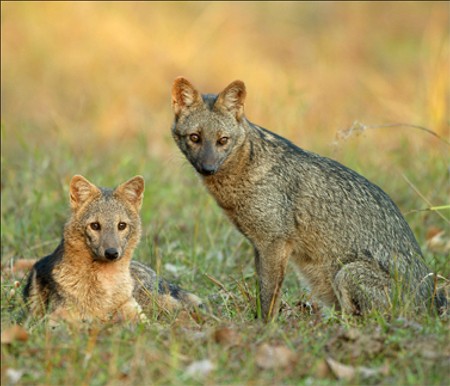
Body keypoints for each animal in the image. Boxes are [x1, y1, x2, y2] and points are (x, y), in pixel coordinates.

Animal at [22, 174, 202, 322]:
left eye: (121, 225)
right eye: (95, 225)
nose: (111, 253)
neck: (107, 287)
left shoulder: (134, 312)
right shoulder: (56, 319)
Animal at [170, 77, 446, 322]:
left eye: (222, 140)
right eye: (195, 138)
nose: (207, 168)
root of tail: (429, 305)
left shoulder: (274, 243)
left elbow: (269, 297)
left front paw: (264, 328)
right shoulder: (260, 245)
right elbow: (263, 292)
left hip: (346, 273)